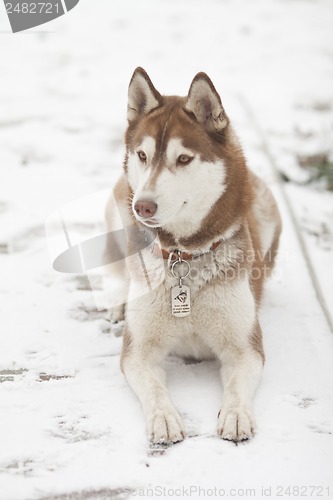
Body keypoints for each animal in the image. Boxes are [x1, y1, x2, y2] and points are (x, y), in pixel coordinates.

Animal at [105, 67, 282, 446]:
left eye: (183, 159)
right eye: (142, 156)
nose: (143, 206)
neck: (185, 256)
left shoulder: (245, 348)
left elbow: (237, 385)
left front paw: (235, 414)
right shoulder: (138, 351)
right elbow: (154, 389)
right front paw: (165, 417)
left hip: (268, 207)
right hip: (117, 210)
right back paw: (117, 301)